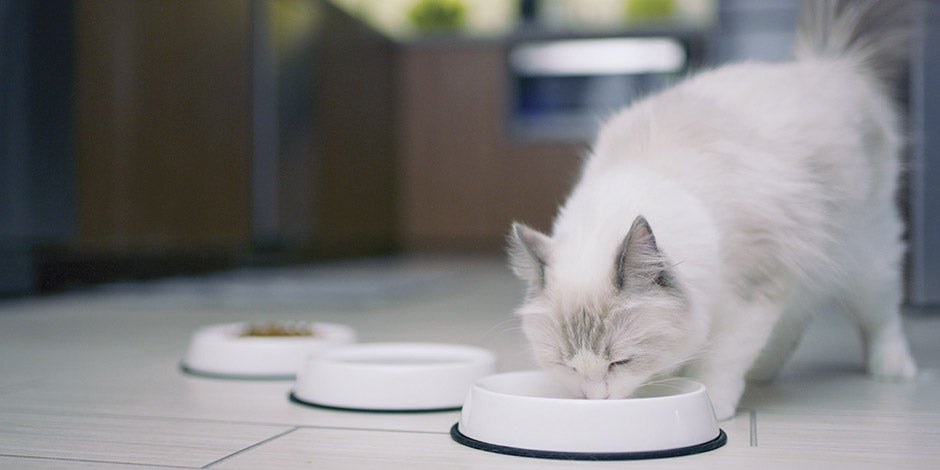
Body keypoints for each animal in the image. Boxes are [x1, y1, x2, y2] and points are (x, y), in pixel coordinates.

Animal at [506, 0, 916, 420]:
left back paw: (893, 370)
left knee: (881, 318)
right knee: (795, 320)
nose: (596, 400)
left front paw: (713, 406)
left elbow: (720, 360)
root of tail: (831, 63)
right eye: (568, 366)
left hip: (867, 259)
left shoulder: (750, 296)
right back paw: (765, 372)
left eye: (620, 362)